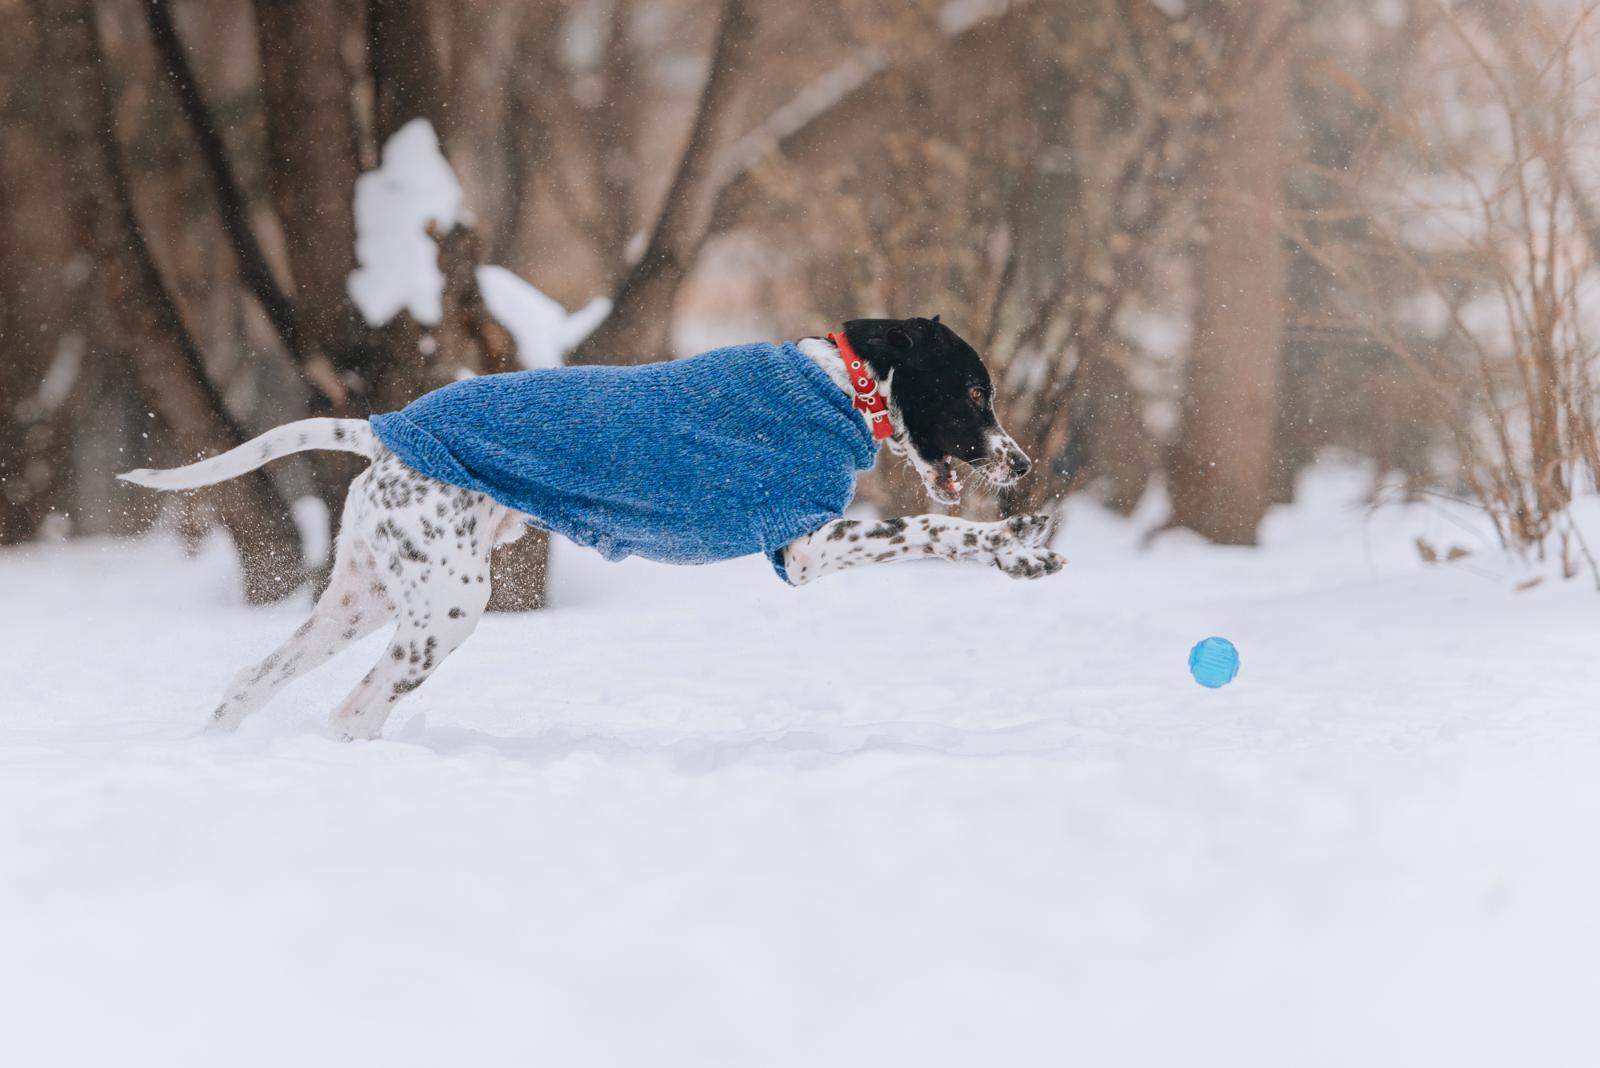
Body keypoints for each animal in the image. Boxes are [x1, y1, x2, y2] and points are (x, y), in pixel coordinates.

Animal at [118, 316, 1056, 738]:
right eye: (976, 393)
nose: (1020, 465)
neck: (838, 387)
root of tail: (386, 430)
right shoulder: (809, 544)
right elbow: (931, 532)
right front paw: (1014, 546)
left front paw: (1022, 545)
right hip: (445, 610)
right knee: (354, 708)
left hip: (365, 599)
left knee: (251, 679)